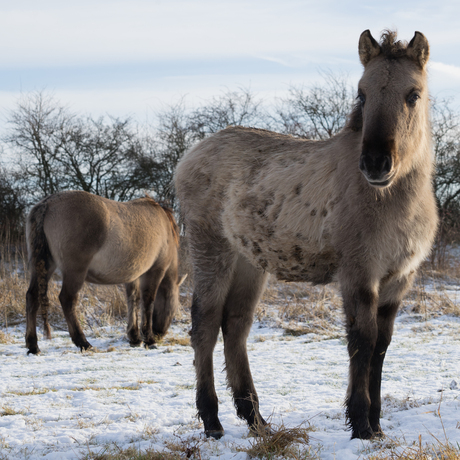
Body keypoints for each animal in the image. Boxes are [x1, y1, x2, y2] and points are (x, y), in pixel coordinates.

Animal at [24, 189, 187, 354]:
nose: (159, 334)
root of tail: (48, 203)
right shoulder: (154, 271)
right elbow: (148, 302)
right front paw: (149, 339)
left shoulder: (133, 275)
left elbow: (133, 300)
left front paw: (134, 337)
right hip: (74, 271)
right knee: (67, 299)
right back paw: (83, 342)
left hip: (44, 266)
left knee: (32, 297)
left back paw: (33, 346)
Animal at [175, 30, 438, 440]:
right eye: (362, 94)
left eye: (413, 94)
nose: (376, 163)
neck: (389, 198)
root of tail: (189, 157)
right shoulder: (359, 273)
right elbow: (362, 341)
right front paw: (361, 425)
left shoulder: (398, 279)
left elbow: (381, 346)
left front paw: (377, 426)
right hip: (211, 250)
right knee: (205, 323)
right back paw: (213, 422)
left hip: (250, 263)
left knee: (235, 325)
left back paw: (255, 419)